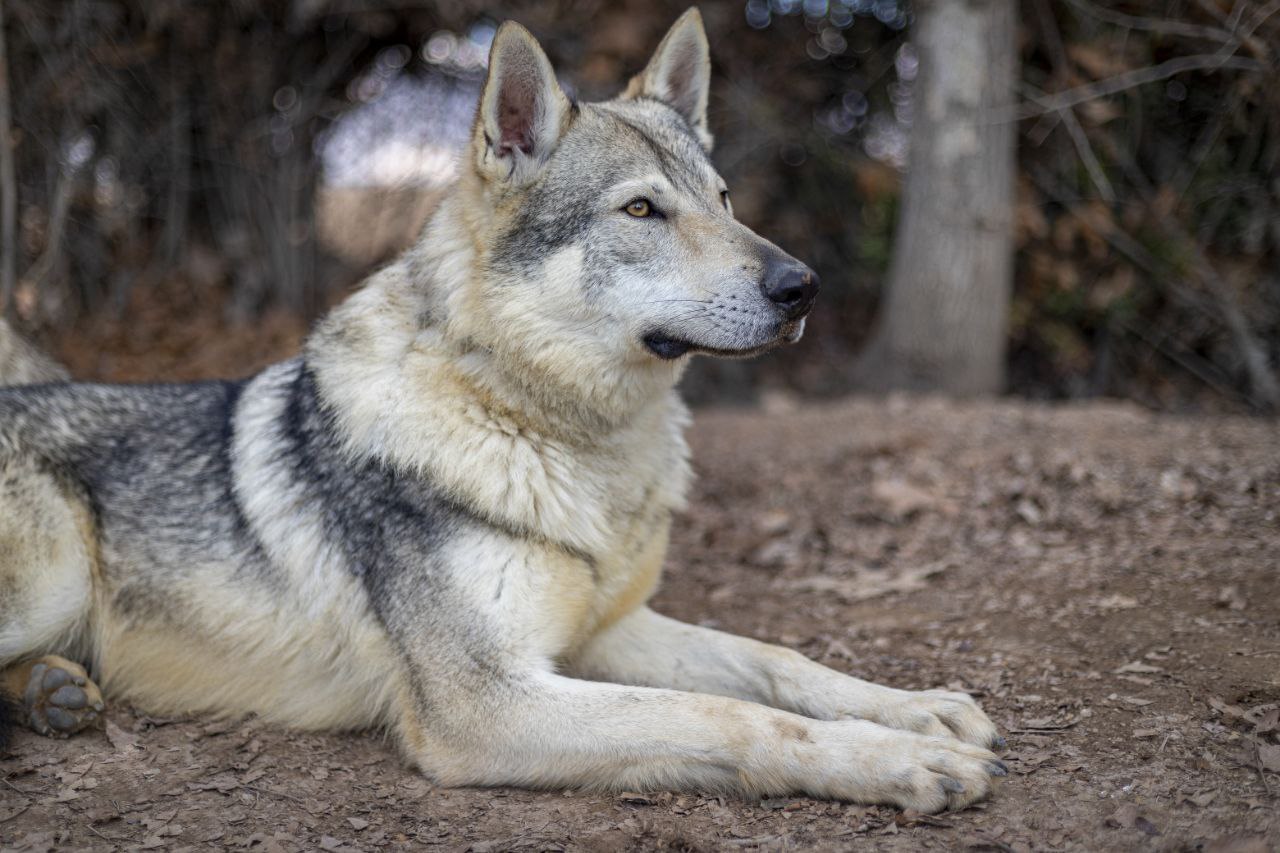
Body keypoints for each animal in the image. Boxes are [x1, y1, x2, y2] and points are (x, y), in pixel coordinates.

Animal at [0, 9, 1006, 812]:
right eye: (641, 211)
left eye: (723, 201)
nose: (803, 287)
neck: (561, 438)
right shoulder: (487, 702)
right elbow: (733, 715)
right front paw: (900, 760)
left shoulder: (608, 631)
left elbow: (773, 660)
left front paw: (920, 710)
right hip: (53, 577)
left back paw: (51, 692)